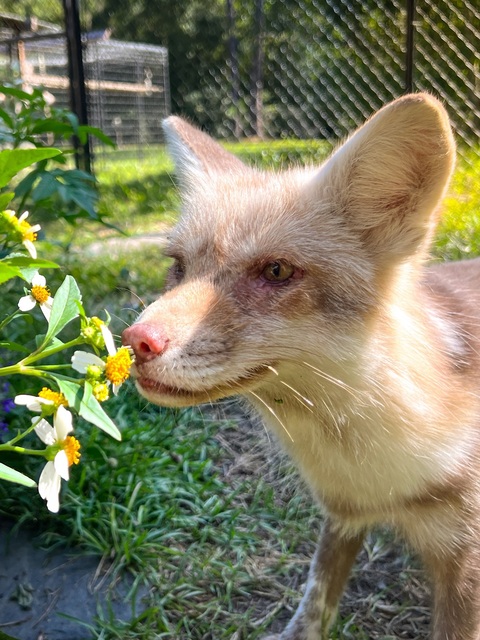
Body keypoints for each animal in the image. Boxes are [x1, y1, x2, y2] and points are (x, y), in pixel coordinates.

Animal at [122, 93, 480, 640]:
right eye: (178, 267)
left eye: (276, 271)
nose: (134, 343)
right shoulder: (343, 512)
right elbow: (315, 599)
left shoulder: (464, 565)